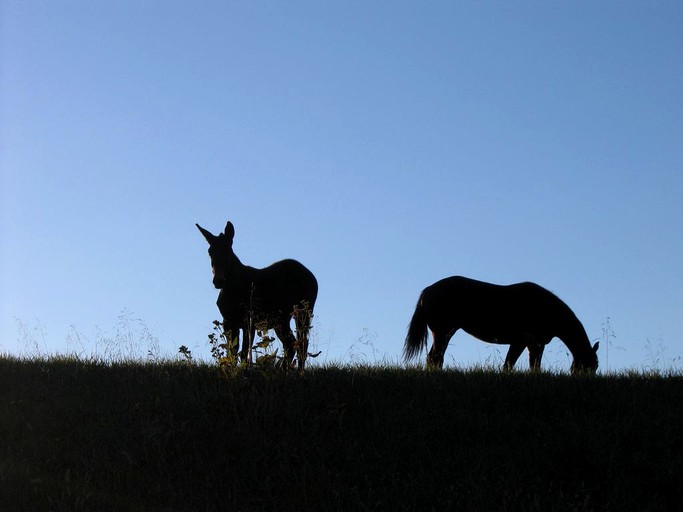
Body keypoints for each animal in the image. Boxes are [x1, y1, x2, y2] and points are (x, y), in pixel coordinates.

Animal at [195, 222, 318, 370]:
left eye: (228, 252)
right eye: (210, 252)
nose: (218, 281)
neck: (232, 289)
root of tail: (313, 278)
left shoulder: (250, 320)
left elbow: (244, 353)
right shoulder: (228, 321)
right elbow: (232, 352)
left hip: (302, 312)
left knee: (302, 343)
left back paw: (298, 371)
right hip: (281, 320)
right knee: (291, 343)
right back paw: (284, 369)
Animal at [404, 276, 600, 372]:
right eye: (590, 365)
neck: (545, 308)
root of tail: (427, 291)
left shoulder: (530, 344)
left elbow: (522, 365)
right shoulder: (526, 342)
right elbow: (517, 364)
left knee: (435, 357)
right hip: (442, 332)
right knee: (435, 357)